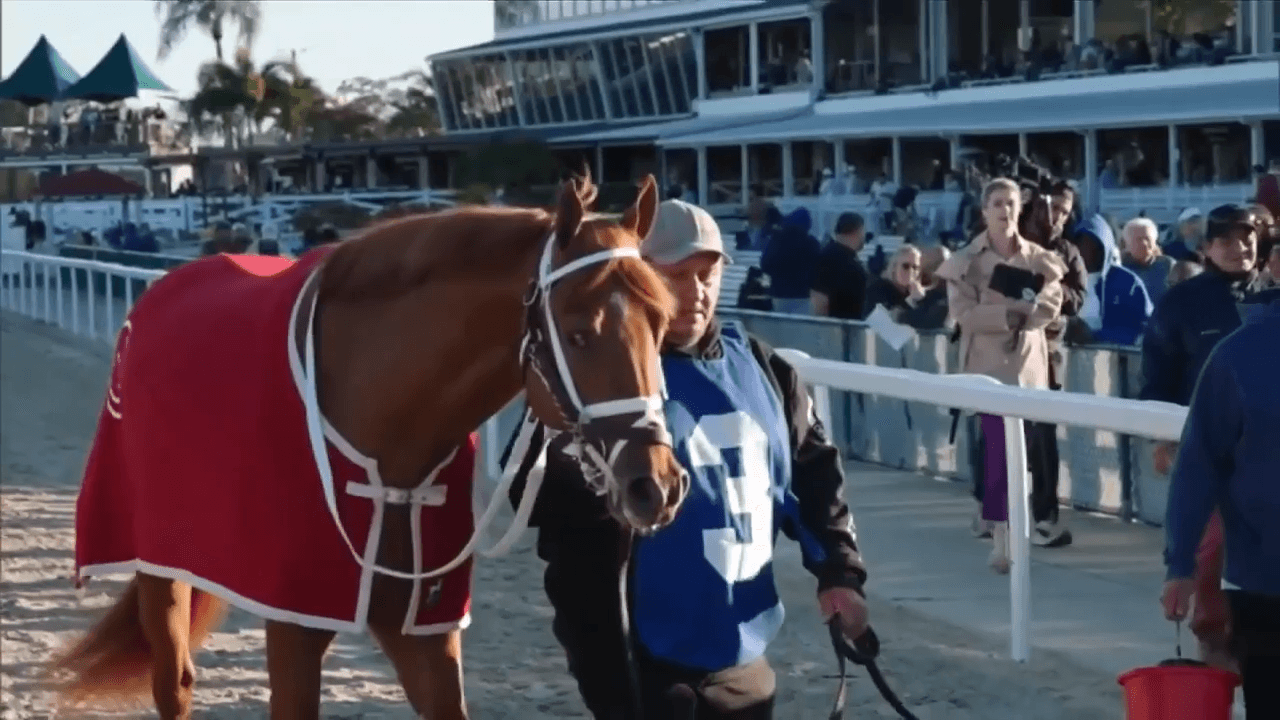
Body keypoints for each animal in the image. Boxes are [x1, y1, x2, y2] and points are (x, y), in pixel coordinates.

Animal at [48, 172, 691, 720]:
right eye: (578, 335)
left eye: (661, 324)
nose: (654, 484)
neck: (388, 443)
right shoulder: (297, 623)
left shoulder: (422, 631)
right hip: (156, 563)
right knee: (173, 682)